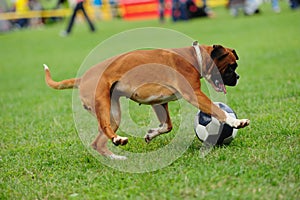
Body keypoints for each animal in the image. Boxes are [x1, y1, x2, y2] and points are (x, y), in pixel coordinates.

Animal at [44, 41, 251, 159]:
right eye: (232, 66)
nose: (238, 77)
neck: (195, 58)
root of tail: (82, 78)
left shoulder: (160, 103)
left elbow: (167, 125)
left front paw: (151, 134)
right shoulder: (194, 94)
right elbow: (218, 111)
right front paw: (236, 121)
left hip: (114, 113)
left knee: (97, 143)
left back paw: (116, 157)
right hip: (103, 104)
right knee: (104, 127)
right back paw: (117, 139)